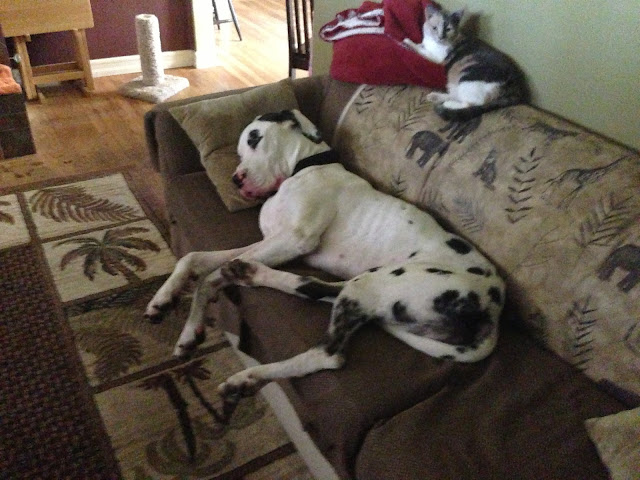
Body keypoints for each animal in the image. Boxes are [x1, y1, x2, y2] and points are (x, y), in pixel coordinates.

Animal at [146, 109, 505, 415]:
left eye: (255, 139)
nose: (236, 180)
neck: (306, 168)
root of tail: (494, 312)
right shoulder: (271, 241)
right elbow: (194, 258)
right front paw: (170, 307)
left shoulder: (294, 240)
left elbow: (210, 277)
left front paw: (192, 319)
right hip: (368, 284)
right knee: (312, 287)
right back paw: (252, 273)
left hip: (379, 282)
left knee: (328, 354)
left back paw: (246, 377)